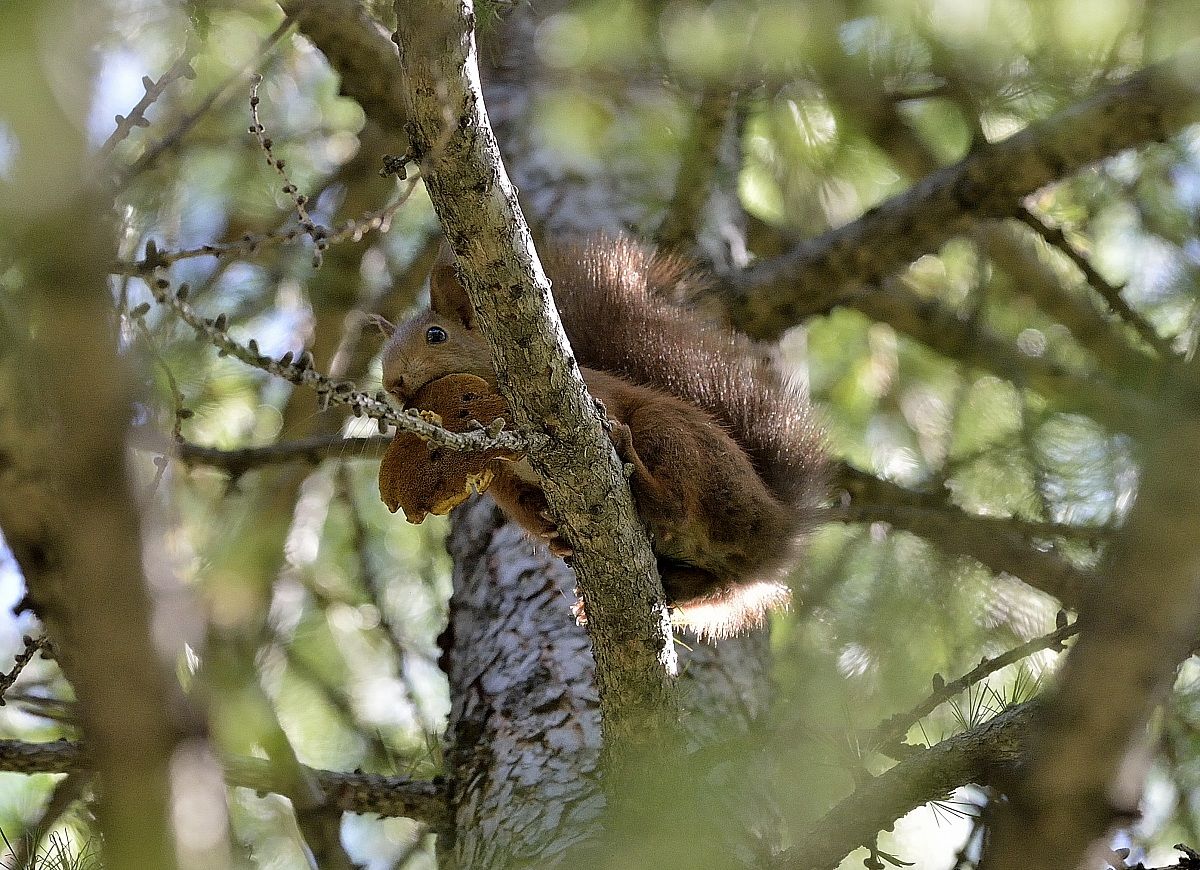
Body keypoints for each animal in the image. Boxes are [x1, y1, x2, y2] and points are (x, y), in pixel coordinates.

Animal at [378, 235, 826, 638]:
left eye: (436, 335)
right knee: (710, 584)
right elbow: (525, 507)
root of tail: (776, 527)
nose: (392, 383)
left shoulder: (595, 398)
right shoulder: (500, 477)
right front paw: (552, 533)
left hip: (670, 432)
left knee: (675, 505)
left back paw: (640, 478)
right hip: (713, 570)